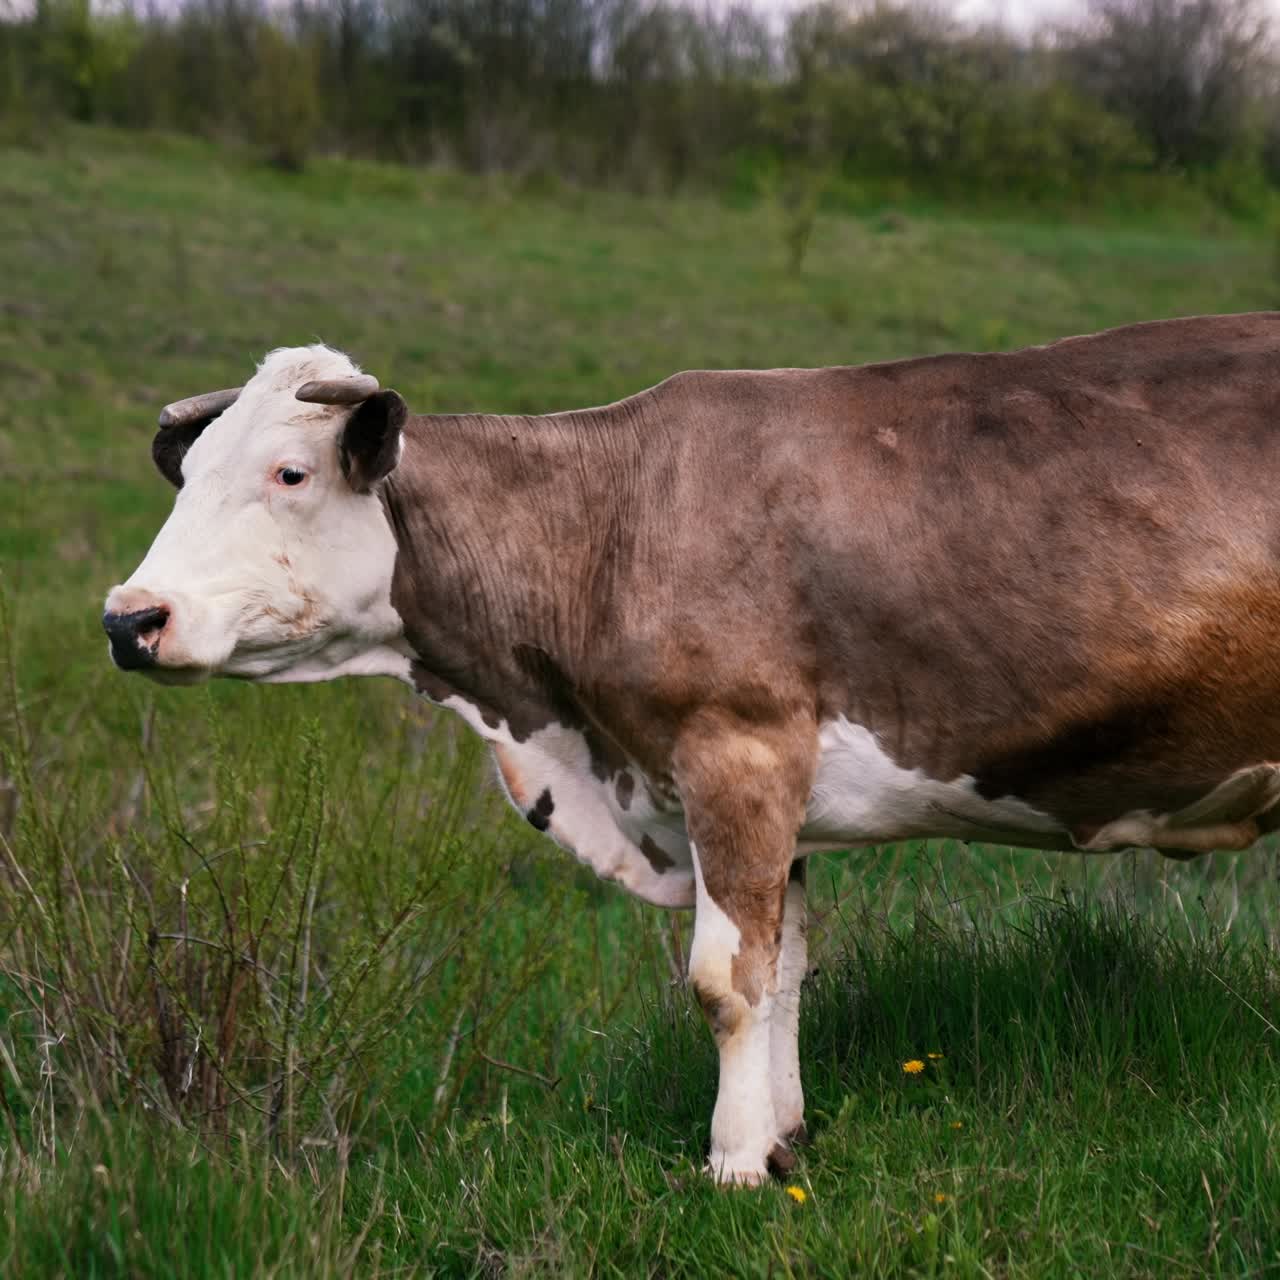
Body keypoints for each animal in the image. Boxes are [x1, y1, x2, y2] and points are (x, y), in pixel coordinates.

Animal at [104, 312, 1280, 1185]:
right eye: (188, 476)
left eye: (290, 473)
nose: (130, 617)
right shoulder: (761, 791)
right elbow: (786, 965)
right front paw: (784, 1132)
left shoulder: (737, 750)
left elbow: (726, 979)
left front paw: (732, 1163)